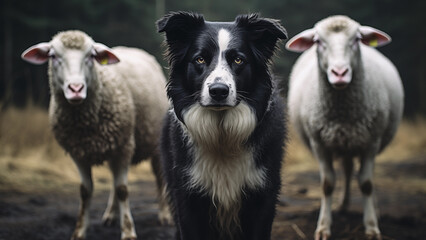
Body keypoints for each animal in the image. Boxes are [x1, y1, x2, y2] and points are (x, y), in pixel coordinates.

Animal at [21, 30, 171, 240]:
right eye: (53, 56)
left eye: (90, 56)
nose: (76, 89)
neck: (85, 125)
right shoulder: (78, 153)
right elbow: (86, 191)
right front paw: (79, 231)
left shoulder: (124, 146)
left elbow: (123, 190)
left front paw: (128, 231)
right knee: (114, 180)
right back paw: (110, 215)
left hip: (155, 142)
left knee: (158, 177)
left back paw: (164, 215)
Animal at [158, 12, 288, 239]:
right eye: (200, 59)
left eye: (238, 60)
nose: (218, 91)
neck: (222, 133)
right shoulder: (187, 194)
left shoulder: (263, 193)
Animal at [286, 15, 402, 239]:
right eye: (318, 41)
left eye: (356, 39)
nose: (339, 73)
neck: (343, 114)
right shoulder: (319, 143)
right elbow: (327, 184)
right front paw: (323, 227)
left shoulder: (371, 141)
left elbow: (366, 184)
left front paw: (371, 227)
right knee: (347, 170)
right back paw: (342, 205)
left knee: (356, 174)